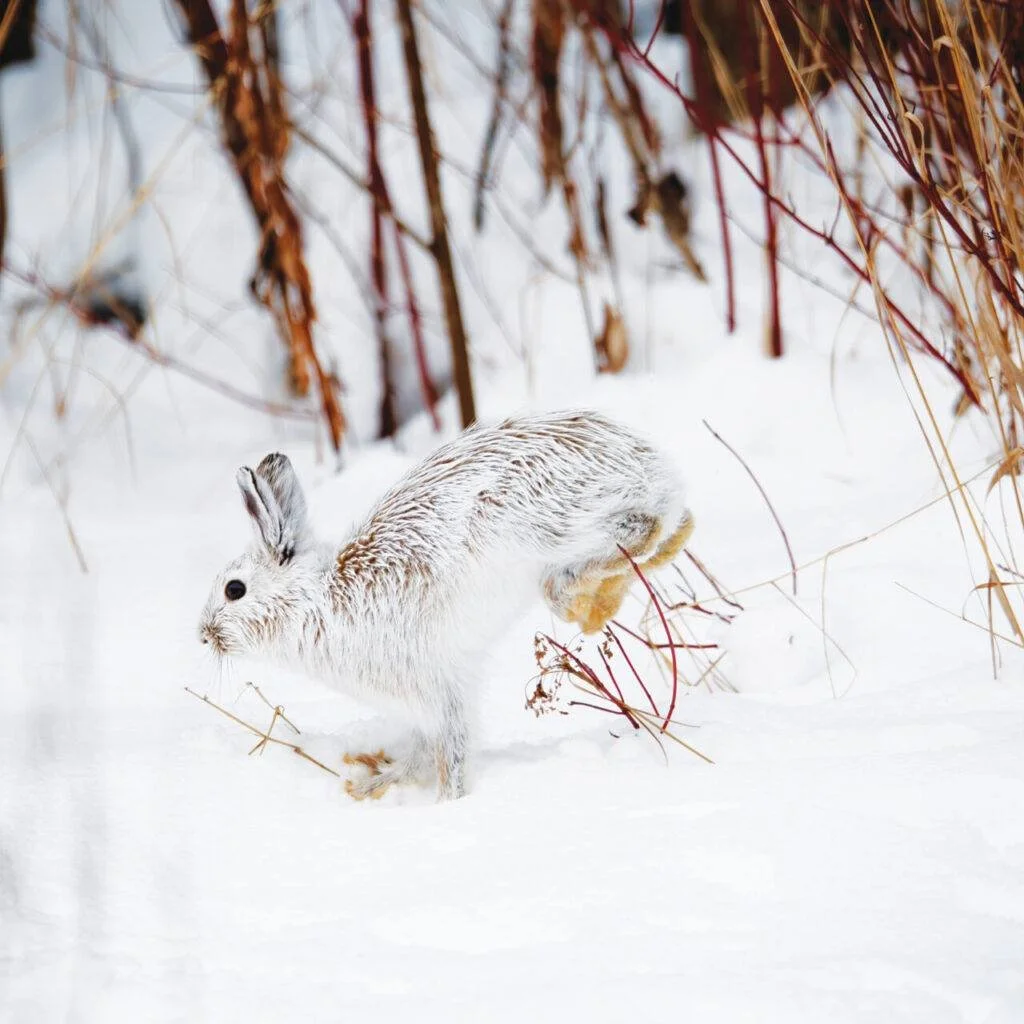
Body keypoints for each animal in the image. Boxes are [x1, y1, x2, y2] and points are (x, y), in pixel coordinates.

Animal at [198, 410, 694, 802]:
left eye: (234, 590)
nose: (203, 635)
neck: (315, 600)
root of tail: (646, 463)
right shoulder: (426, 700)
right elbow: (420, 753)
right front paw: (373, 781)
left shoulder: (438, 690)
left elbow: (450, 754)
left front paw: (446, 806)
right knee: (675, 525)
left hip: (552, 525)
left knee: (634, 530)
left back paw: (590, 608)